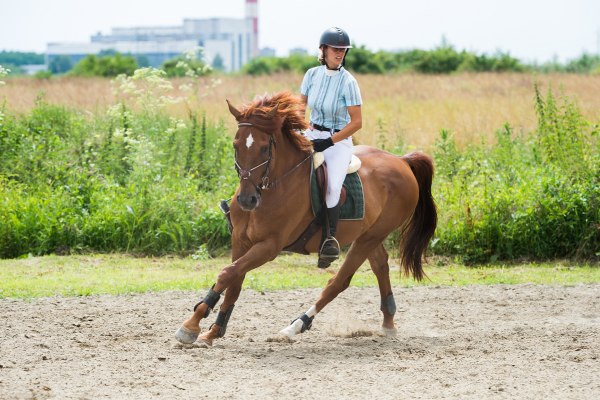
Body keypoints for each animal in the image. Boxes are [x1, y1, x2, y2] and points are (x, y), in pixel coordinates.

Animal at [173, 90, 436, 344]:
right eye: (235, 145)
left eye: (265, 148)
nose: (247, 200)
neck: (272, 186)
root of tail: (401, 161)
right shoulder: (241, 240)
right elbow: (233, 282)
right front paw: (213, 331)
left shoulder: (269, 247)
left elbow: (227, 274)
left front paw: (191, 326)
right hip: (369, 235)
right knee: (380, 266)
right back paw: (388, 323)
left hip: (371, 237)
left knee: (338, 282)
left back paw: (294, 327)